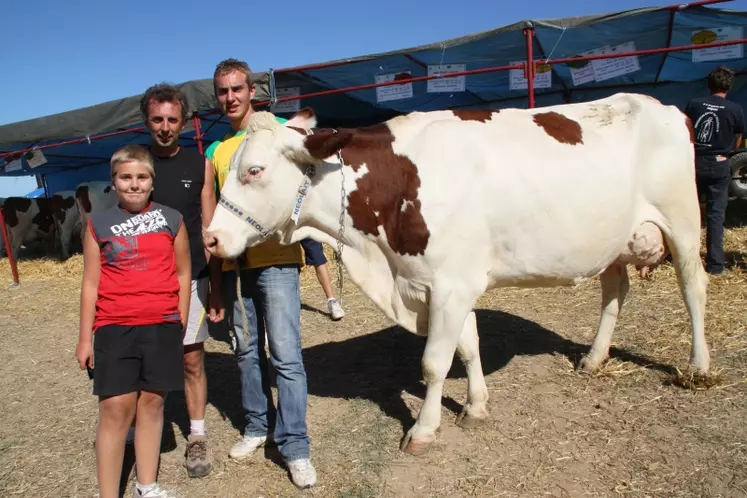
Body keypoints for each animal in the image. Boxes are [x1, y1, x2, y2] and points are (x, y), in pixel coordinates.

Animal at [202, 92, 712, 456]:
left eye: (254, 170)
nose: (210, 239)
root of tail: (661, 105)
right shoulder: (449, 282)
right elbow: (467, 347)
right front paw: (476, 406)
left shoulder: (451, 285)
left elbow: (433, 362)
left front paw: (425, 430)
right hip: (613, 240)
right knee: (614, 291)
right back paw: (594, 357)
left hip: (683, 221)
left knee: (693, 287)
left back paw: (698, 367)